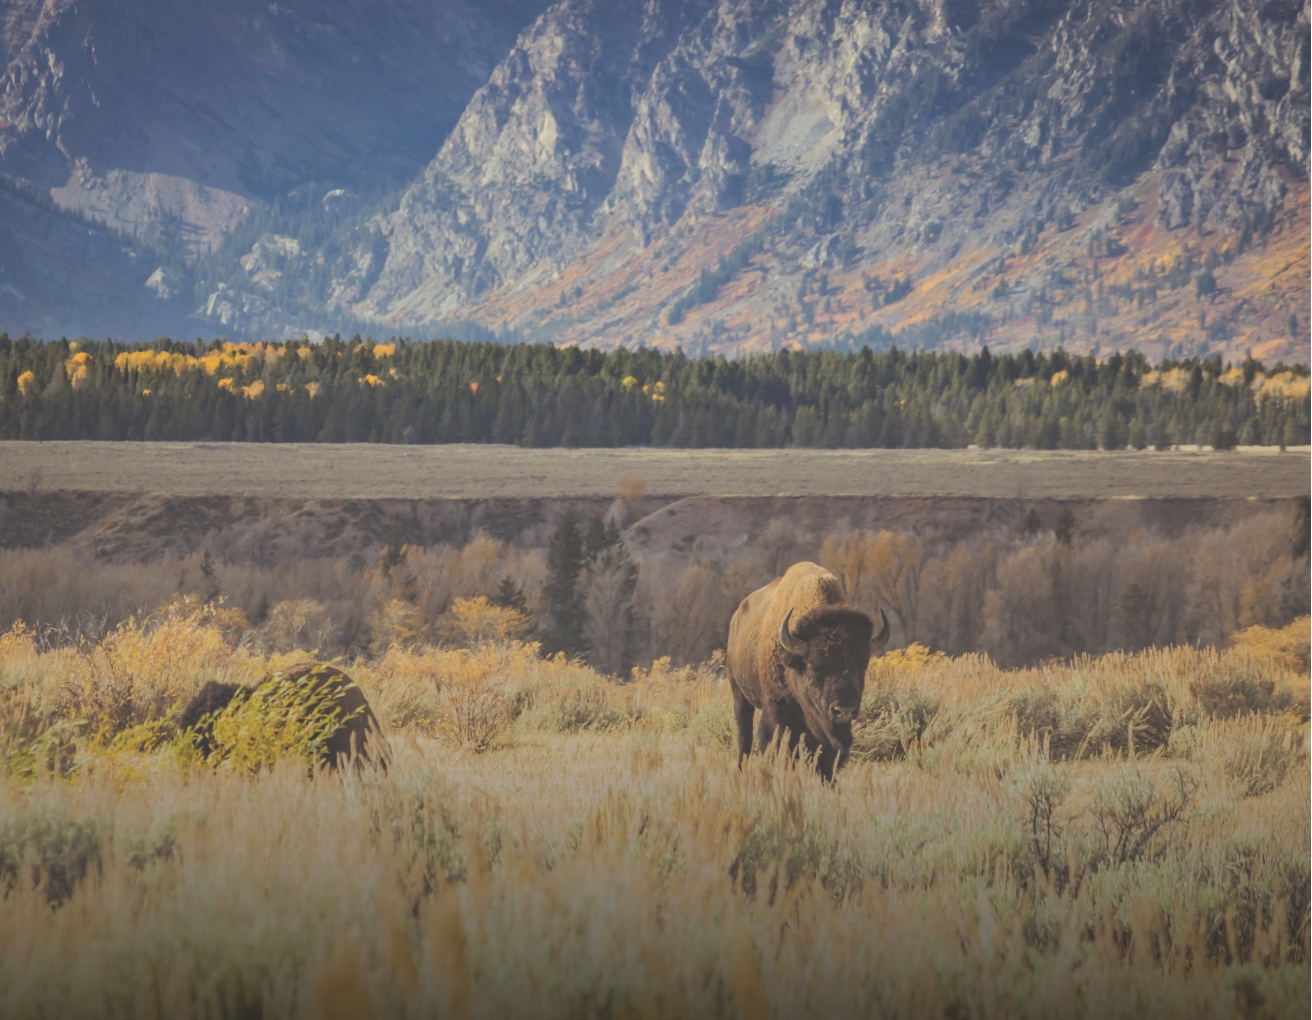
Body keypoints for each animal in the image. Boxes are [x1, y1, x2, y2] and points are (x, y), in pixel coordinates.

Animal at [729, 561, 892, 777]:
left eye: (863, 665)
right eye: (814, 668)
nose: (844, 710)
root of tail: (736, 619)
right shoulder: (777, 710)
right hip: (739, 693)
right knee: (744, 738)